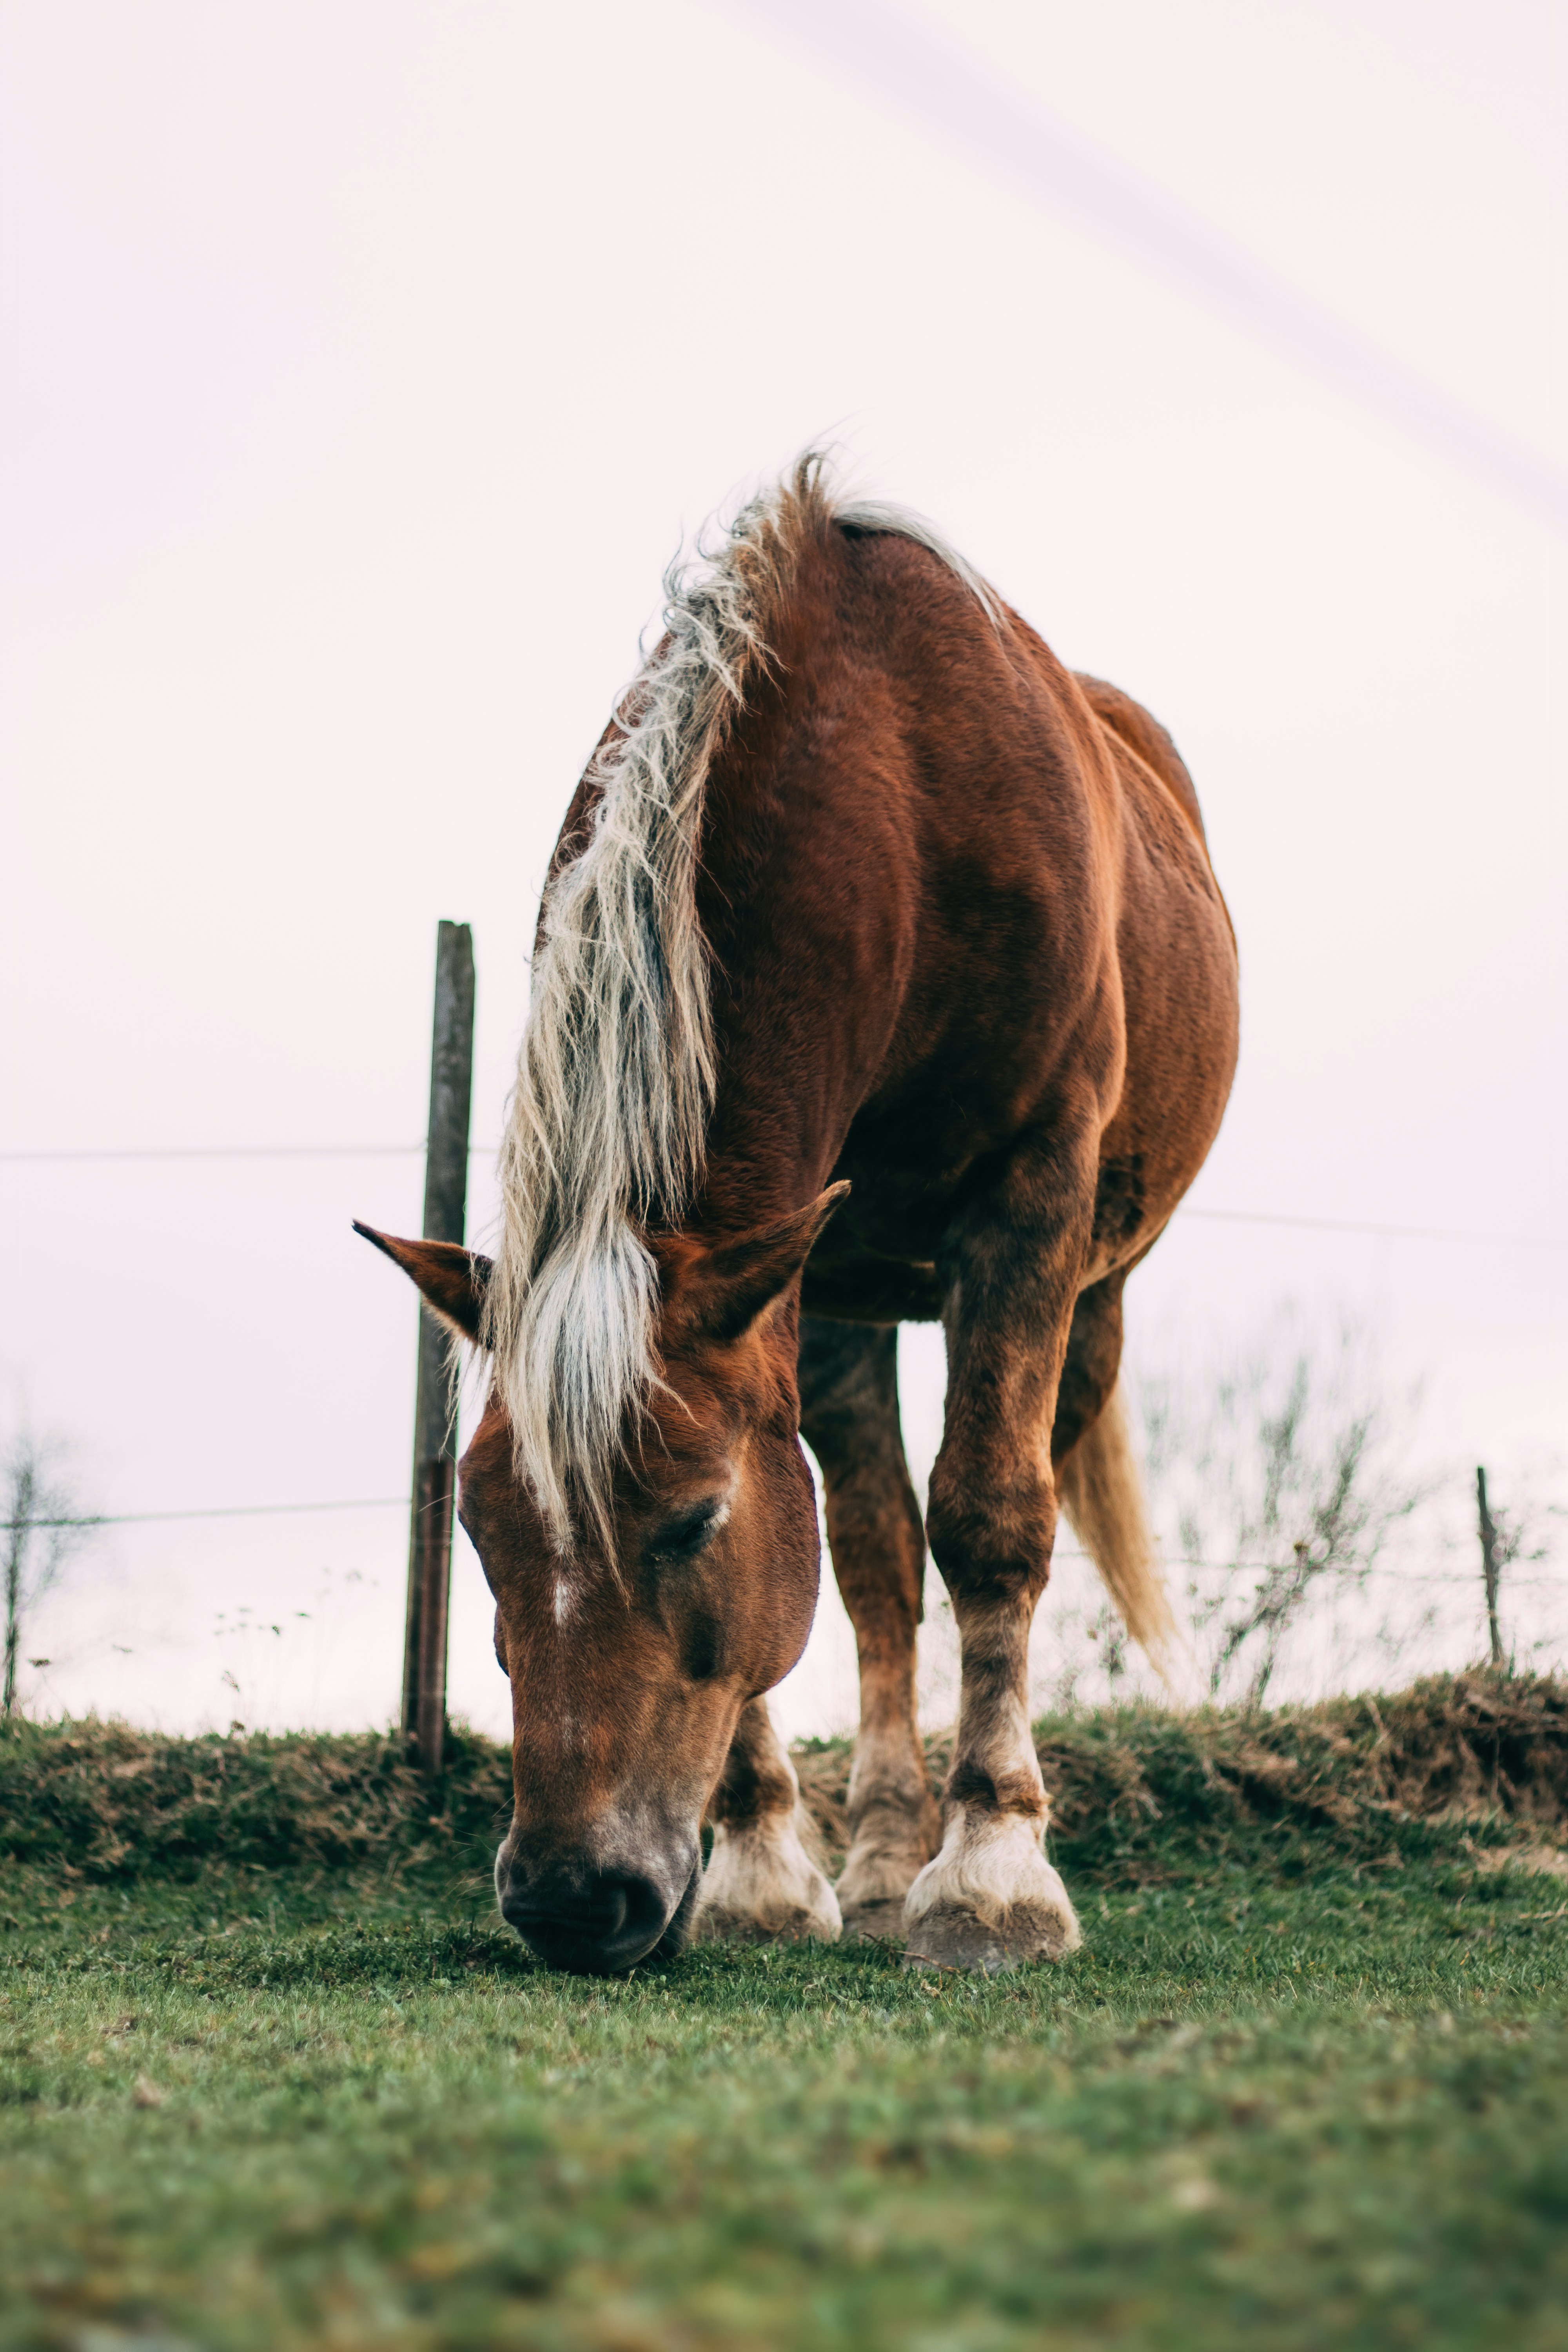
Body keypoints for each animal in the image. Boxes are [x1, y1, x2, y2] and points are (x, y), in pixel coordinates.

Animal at [358, 455, 1238, 1976]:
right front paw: (769, 1868)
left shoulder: (1026, 1200)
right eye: (477, 1526)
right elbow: (844, 1562)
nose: (568, 1900)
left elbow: (992, 1519)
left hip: (1093, 1298)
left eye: (692, 1522)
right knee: (879, 1555)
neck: (894, 784)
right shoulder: (789, 1276)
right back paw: (881, 1855)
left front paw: (995, 1872)